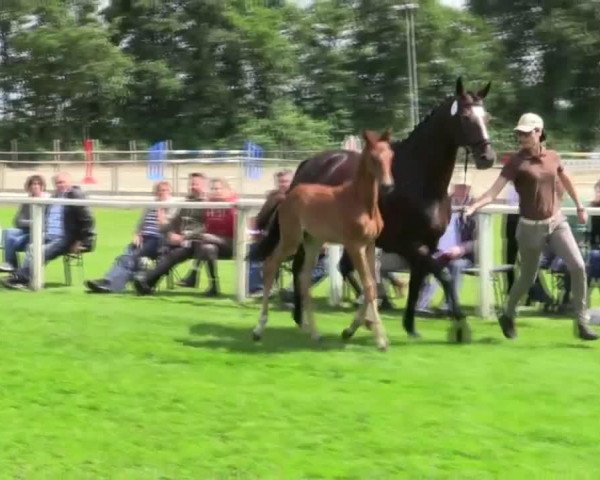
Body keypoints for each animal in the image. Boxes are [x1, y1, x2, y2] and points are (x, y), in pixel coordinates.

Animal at [252, 129, 396, 350]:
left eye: (391, 156)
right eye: (373, 157)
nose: (388, 186)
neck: (361, 202)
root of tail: (286, 196)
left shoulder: (370, 245)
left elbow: (372, 285)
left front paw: (359, 329)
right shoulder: (354, 246)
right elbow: (369, 285)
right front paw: (380, 340)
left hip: (313, 242)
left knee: (303, 277)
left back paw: (314, 333)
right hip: (291, 239)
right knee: (271, 265)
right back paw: (259, 329)